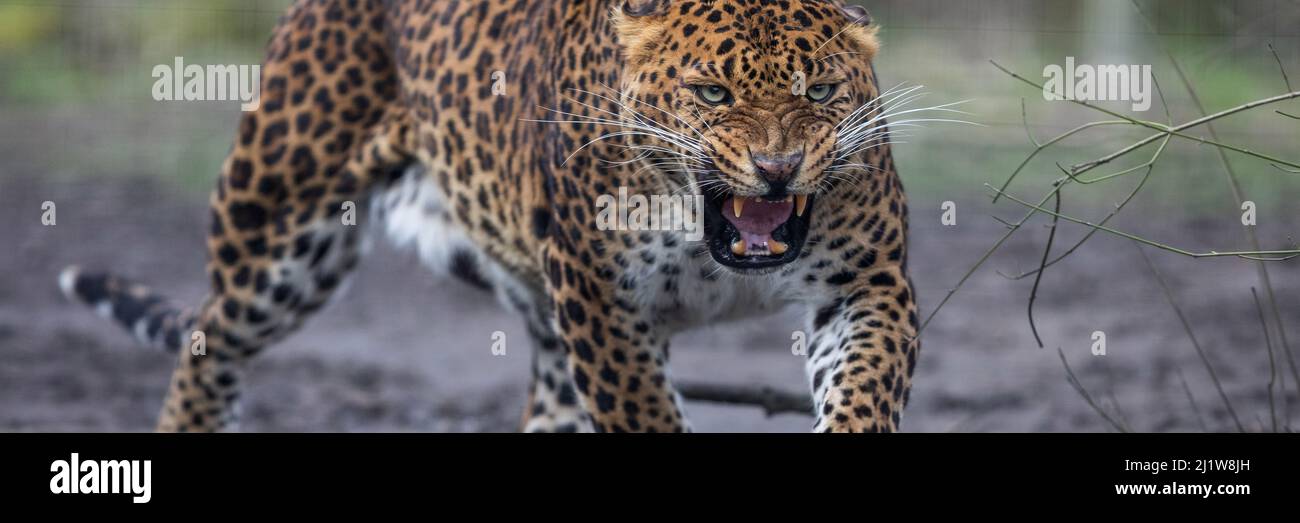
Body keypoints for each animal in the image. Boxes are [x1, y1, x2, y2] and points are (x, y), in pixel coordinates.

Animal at [59, 0, 920, 433]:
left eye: (820, 91)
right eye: (712, 93)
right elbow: (644, 412)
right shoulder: (600, 301)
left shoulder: (867, 284)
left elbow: (863, 393)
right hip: (277, 230)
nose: (778, 168)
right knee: (207, 343)